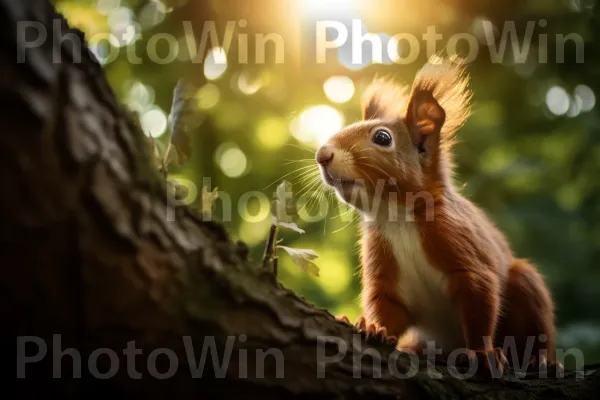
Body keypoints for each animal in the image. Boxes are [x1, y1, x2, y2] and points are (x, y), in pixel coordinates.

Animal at [316, 56, 560, 376]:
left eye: (382, 137)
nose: (322, 155)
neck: (397, 218)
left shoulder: (461, 247)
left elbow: (479, 300)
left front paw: (482, 352)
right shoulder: (385, 271)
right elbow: (388, 307)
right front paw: (373, 327)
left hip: (526, 285)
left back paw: (541, 360)